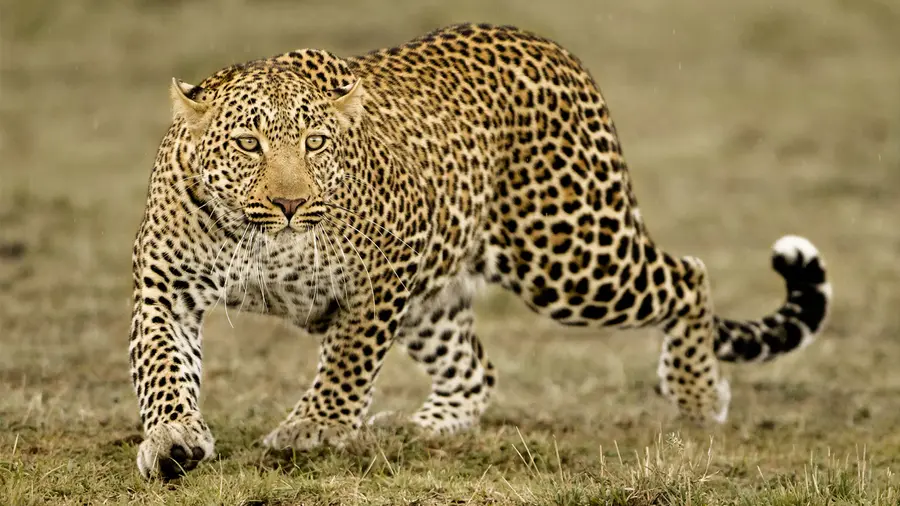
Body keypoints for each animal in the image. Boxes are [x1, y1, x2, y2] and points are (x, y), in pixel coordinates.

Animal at [130, 22, 832, 479]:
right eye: (248, 144)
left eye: (317, 143)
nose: (290, 204)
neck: (263, 242)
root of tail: (549, 45)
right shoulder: (166, 287)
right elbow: (163, 368)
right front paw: (172, 439)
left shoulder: (385, 270)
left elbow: (348, 361)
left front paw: (315, 428)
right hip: (441, 295)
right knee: (475, 369)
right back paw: (418, 427)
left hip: (570, 255)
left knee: (689, 275)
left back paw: (697, 395)